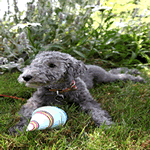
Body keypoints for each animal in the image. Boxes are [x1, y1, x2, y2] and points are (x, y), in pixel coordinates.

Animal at [9, 50, 144, 134]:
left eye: (52, 65)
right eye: (33, 64)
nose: (26, 77)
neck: (59, 89)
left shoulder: (87, 100)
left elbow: (98, 112)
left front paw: (107, 125)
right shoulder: (35, 100)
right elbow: (26, 113)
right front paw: (18, 129)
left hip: (106, 78)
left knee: (121, 75)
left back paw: (137, 78)